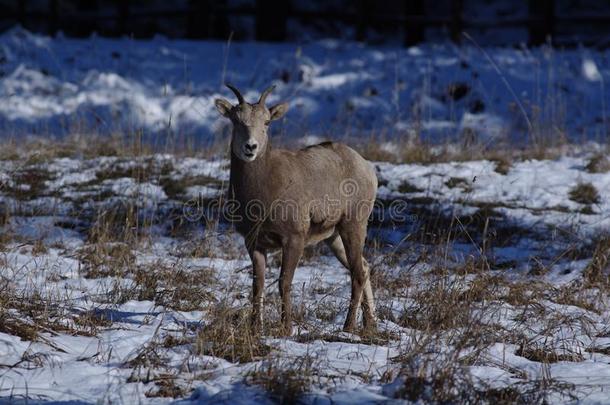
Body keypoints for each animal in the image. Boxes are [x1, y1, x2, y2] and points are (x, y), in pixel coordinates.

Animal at [214, 83, 376, 332]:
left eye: (267, 122)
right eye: (236, 120)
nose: (250, 147)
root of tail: (367, 168)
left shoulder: (293, 239)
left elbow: (284, 282)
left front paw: (286, 328)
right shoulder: (254, 243)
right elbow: (258, 285)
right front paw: (255, 328)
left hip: (353, 226)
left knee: (358, 273)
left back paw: (348, 328)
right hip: (334, 238)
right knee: (365, 268)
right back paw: (370, 324)